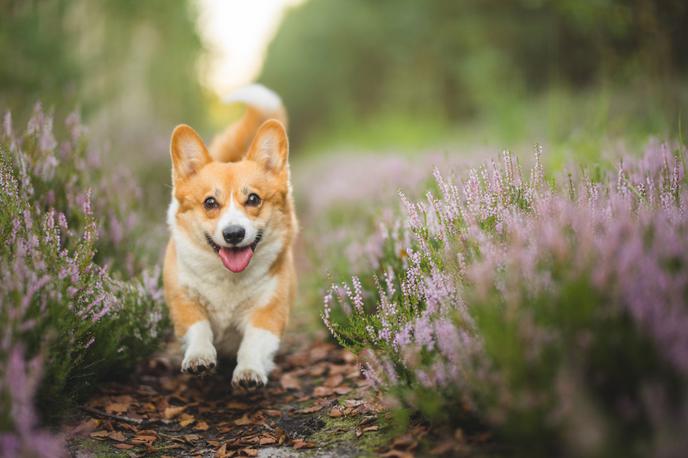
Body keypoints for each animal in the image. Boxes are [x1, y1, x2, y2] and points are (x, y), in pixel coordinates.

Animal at [166, 84, 298, 388]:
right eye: (210, 203)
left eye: (253, 199)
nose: (234, 234)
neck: (228, 278)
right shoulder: (184, 300)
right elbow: (199, 328)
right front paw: (199, 357)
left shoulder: (268, 311)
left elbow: (252, 344)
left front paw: (249, 372)